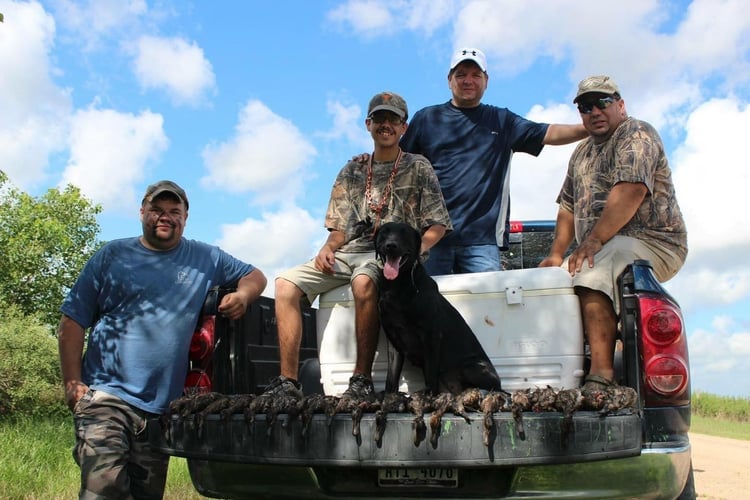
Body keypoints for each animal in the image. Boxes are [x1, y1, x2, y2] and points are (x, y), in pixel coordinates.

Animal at [376, 223, 506, 394]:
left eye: (404, 234)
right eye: (384, 232)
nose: (391, 245)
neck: (398, 285)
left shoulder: (431, 335)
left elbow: (430, 371)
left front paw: (429, 394)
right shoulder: (393, 340)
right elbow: (391, 376)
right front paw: (389, 395)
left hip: (471, 367)